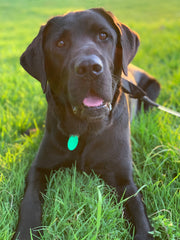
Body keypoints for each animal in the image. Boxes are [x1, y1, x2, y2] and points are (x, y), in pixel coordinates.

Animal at [13, 7, 160, 240]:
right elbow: (29, 203)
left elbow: (139, 213)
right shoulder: (39, 167)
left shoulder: (124, 179)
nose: (89, 67)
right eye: (60, 43)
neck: (85, 130)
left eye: (103, 36)